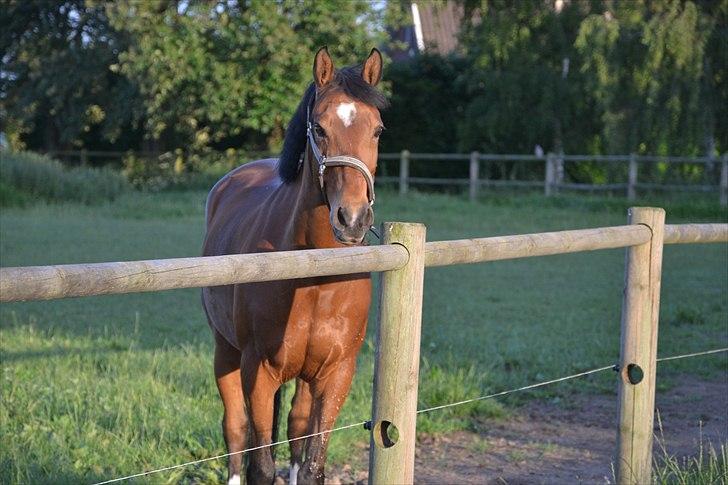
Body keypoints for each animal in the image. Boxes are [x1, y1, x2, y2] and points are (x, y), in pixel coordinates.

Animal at [201, 47, 387, 485]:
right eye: (319, 128)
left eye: (377, 130)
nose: (352, 218)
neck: (313, 275)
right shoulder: (258, 371)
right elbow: (261, 464)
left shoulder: (336, 373)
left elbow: (312, 462)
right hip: (225, 351)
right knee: (235, 430)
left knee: (295, 429)